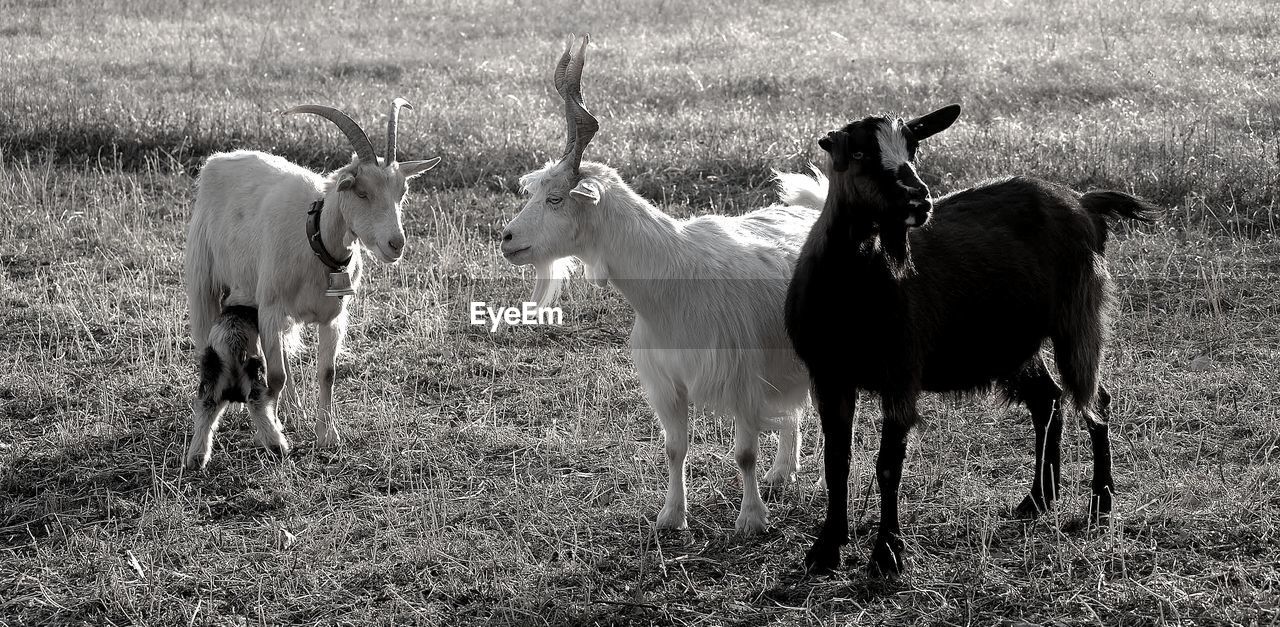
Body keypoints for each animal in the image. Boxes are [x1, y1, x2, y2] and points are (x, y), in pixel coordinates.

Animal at [180, 97, 440, 468]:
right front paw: (272, 429)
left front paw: (327, 435)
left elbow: (326, 373)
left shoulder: (332, 316)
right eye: (361, 192)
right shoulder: (270, 308)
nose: (396, 244)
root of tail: (219, 159)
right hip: (205, 279)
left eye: (402, 192)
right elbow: (275, 376)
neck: (314, 240)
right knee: (216, 353)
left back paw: (294, 410)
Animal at [499, 35, 819, 534]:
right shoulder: (668, 381)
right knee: (793, 410)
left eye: (554, 199)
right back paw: (783, 472)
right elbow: (674, 449)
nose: (507, 239)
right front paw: (671, 516)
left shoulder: (742, 378)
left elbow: (744, 453)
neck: (675, 282)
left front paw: (750, 519)